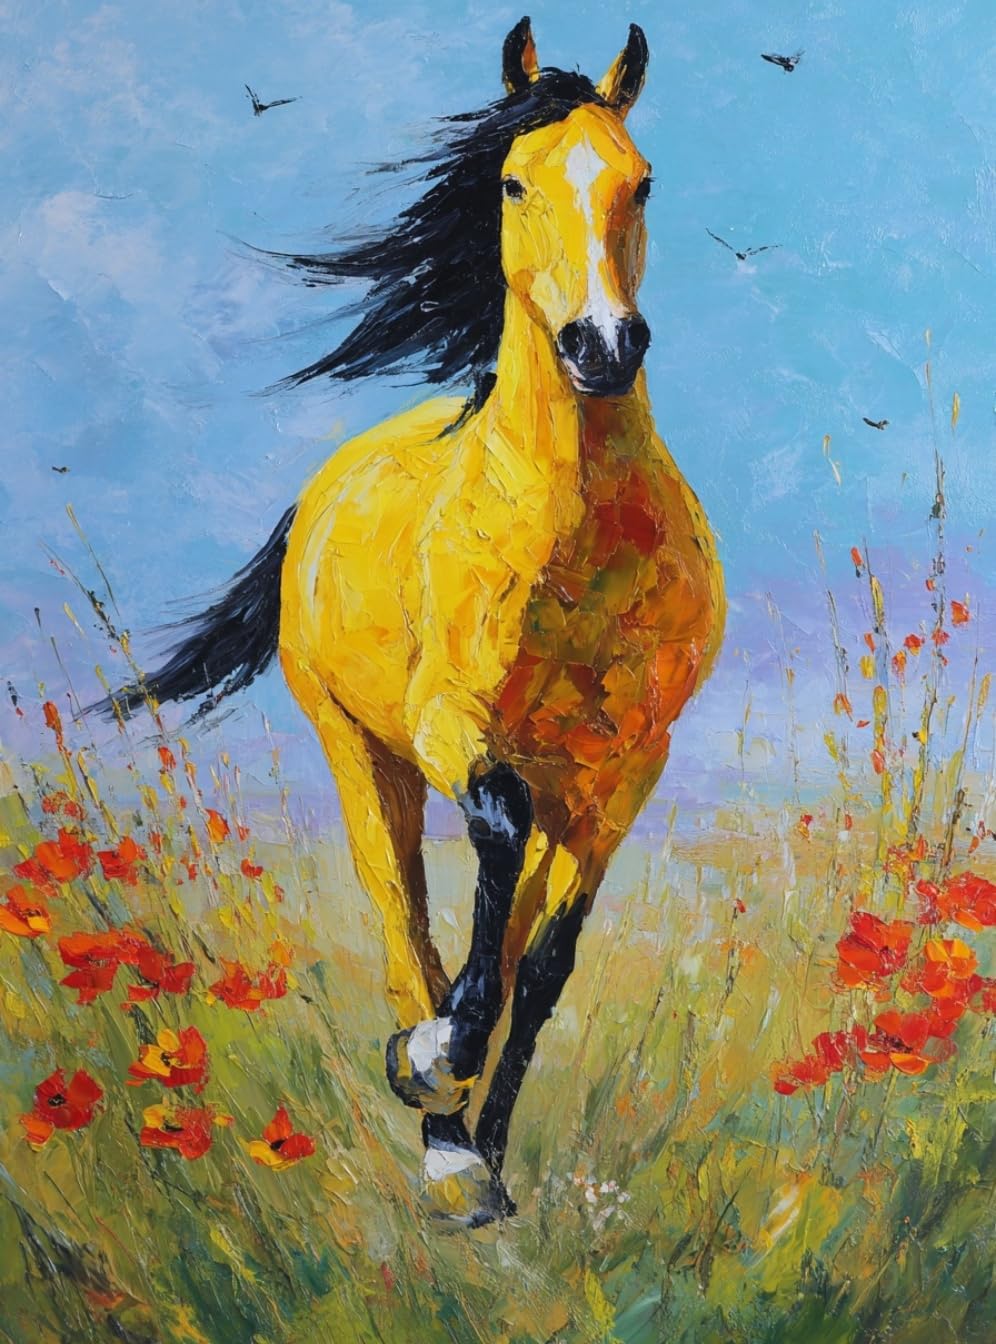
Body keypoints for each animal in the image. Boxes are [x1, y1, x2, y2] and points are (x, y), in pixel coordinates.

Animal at [100, 18, 725, 1226]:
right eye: (515, 181)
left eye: (643, 182)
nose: (603, 346)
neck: (575, 541)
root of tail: (329, 483)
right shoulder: (453, 726)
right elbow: (484, 852)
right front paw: (436, 1082)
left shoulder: (626, 770)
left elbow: (543, 966)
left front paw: (487, 1142)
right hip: (364, 752)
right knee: (407, 920)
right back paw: (435, 1110)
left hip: (553, 783)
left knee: (503, 930)